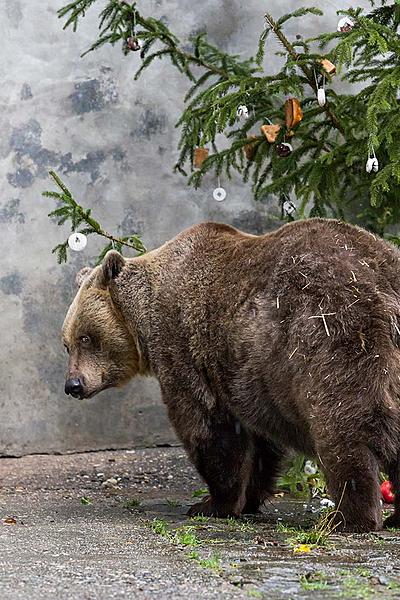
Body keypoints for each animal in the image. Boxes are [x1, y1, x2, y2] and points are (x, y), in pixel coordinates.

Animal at [62, 218, 400, 532]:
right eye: (66, 343)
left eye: (86, 338)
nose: (73, 384)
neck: (144, 322)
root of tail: (382, 279)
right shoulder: (250, 378)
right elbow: (260, 443)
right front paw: (247, 498)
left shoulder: (184, 348)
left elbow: (207, 426)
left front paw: (211, 503)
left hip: (331, 332)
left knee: (342, 426)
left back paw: (349, 518)